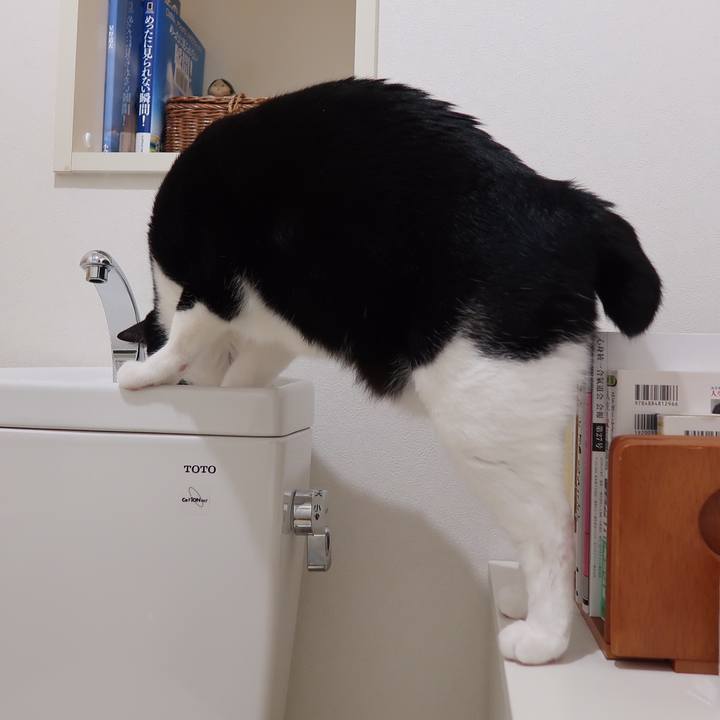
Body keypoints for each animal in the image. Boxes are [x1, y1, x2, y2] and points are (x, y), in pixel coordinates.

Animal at [116, 77, 662, 665]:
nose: (199, 386)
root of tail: (569, 202)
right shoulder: (272, 334)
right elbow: (249, 370)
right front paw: (234, 391)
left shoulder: (209, 282)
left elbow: (183, 333)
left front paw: (146, 374)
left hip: (485, 415)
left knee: (552, 525)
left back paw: (543, 636)